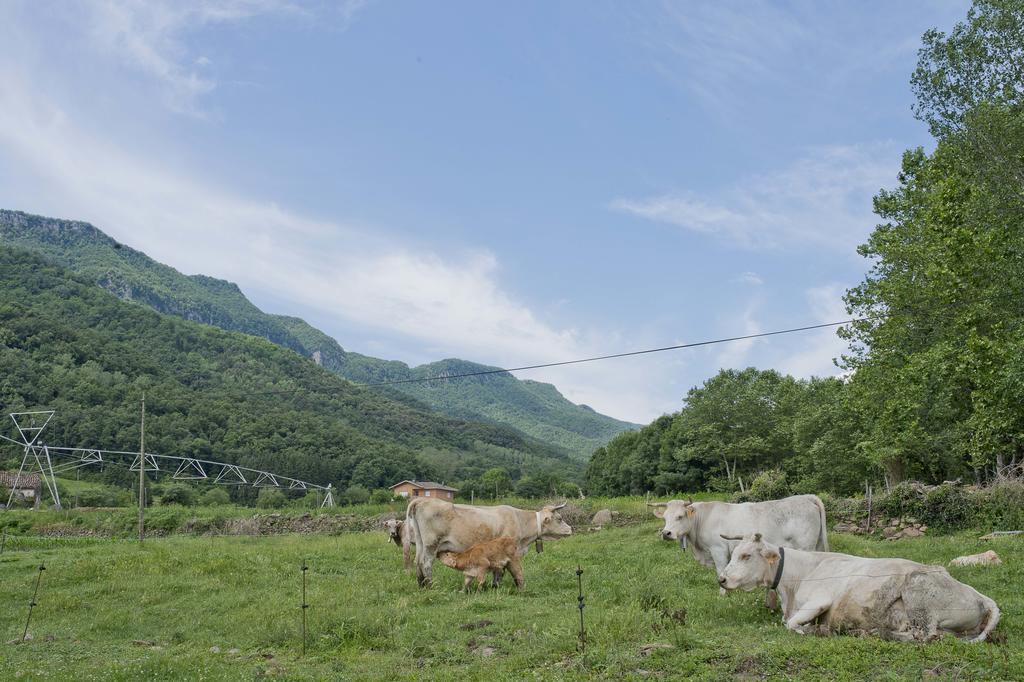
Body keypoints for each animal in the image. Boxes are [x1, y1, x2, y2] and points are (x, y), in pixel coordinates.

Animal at [716, 532, 995, 638]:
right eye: (735, 552)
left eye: (746, 556)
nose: (722, 579)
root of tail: (981, 597)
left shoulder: (819, 600)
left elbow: (792, 624)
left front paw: (814, 630)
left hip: (919, 600)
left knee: (924, 637)